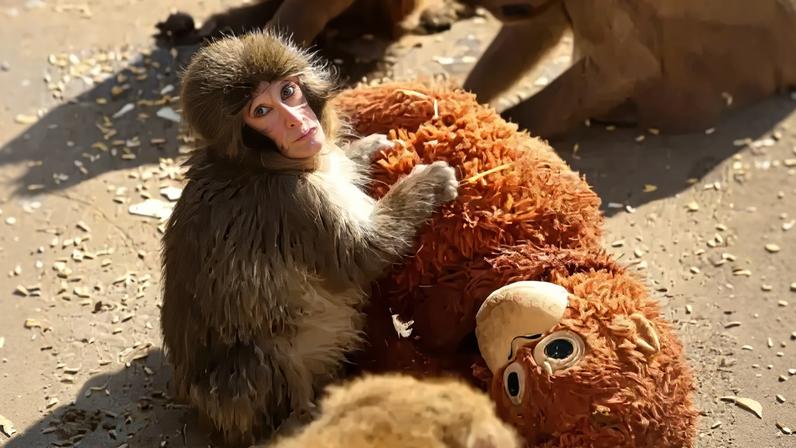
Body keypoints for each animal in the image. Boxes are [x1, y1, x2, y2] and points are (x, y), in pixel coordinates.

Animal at [159, 29, 459, 447]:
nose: (296, 121)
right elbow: (362, 255)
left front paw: (367, 150)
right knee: (260, 356)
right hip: (234, 403)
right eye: (261, 112)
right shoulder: (295, 202)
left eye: (288, 92)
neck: (258, 164)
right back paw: (299, 419)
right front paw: (428, 183)